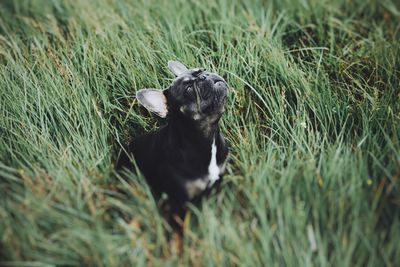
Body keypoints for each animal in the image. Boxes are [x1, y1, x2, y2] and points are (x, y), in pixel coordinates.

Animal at [118, 61, 228, 228]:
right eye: (188, 89)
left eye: (203, 69)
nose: (205, 76)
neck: (206, 138)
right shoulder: (179, 205)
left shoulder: (217, 185)